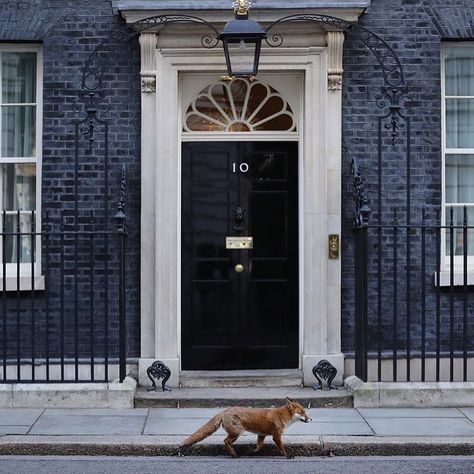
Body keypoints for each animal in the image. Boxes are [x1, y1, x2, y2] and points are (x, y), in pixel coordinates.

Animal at [181, 396, 312, 460]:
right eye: (303, 413)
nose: (311, 419)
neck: (282, 416)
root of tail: (224, 411)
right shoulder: (276, 436)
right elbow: (282, 449)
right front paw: (288, 456)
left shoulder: (261, 435)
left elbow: (258, 447)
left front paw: (249, 451)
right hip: (238, 432)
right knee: (225, 441)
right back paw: (233, 454)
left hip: (236, 433)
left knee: (226, 441)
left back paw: (234, 453)